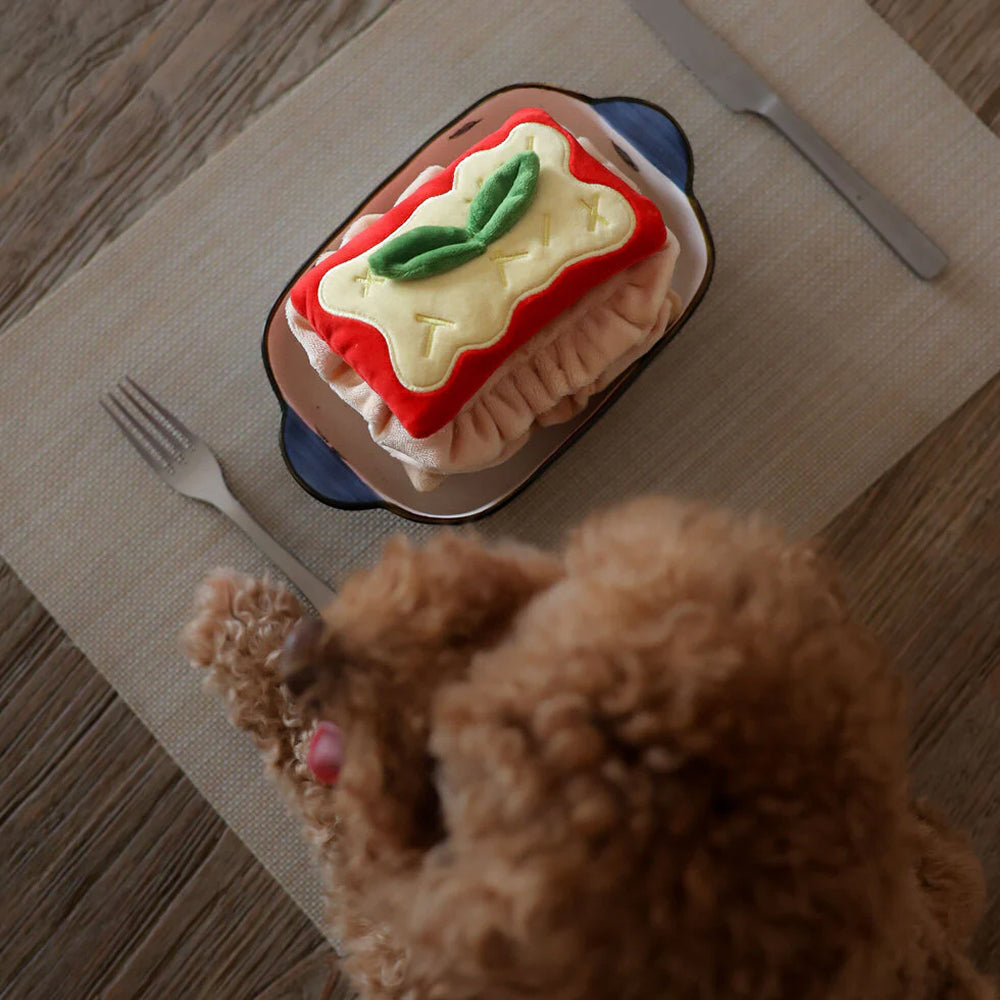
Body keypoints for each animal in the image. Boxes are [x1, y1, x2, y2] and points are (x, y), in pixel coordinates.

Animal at [184, 497, 994, 999]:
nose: (303, 653)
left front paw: (239, 635)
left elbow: (322, 809)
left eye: (448, 778)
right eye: (500, 625)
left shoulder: (391, 932)